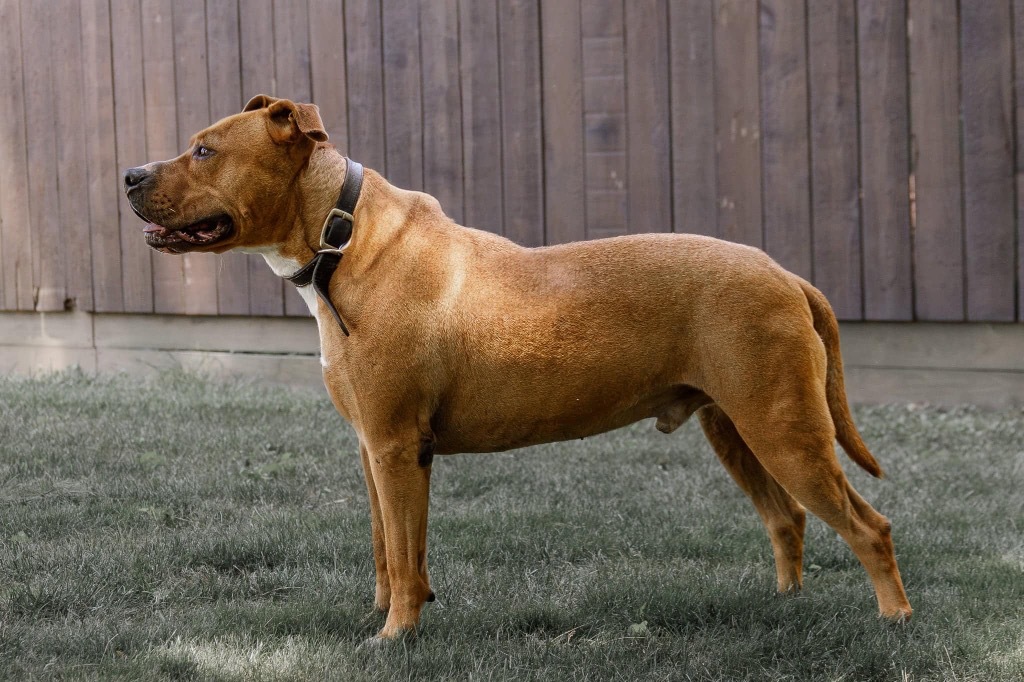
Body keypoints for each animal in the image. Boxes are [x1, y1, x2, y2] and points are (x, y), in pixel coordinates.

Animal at [121, 94, 913, 638]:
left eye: (204, 151)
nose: (128, 174)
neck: (340, 240)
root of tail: (784, 273)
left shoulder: (397, 447)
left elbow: (402, 554)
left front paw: (395, 636)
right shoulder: (373, 450)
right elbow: (387, 549)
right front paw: (389, 615)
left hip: (785, 431)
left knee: (868, 526)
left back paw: (894, 619)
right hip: (738, 430)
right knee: (788, 518)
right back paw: (785, 604)